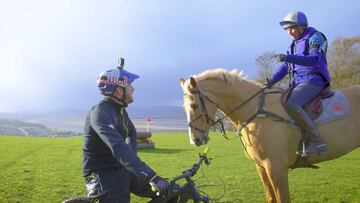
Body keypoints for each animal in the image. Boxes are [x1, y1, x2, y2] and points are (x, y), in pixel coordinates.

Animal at [179, 69, 360, 202]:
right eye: (184, 107)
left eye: (194, 105)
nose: (195, 140)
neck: (256, 111)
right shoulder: (262, 168)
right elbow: (271, 198)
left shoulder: (276, 168)